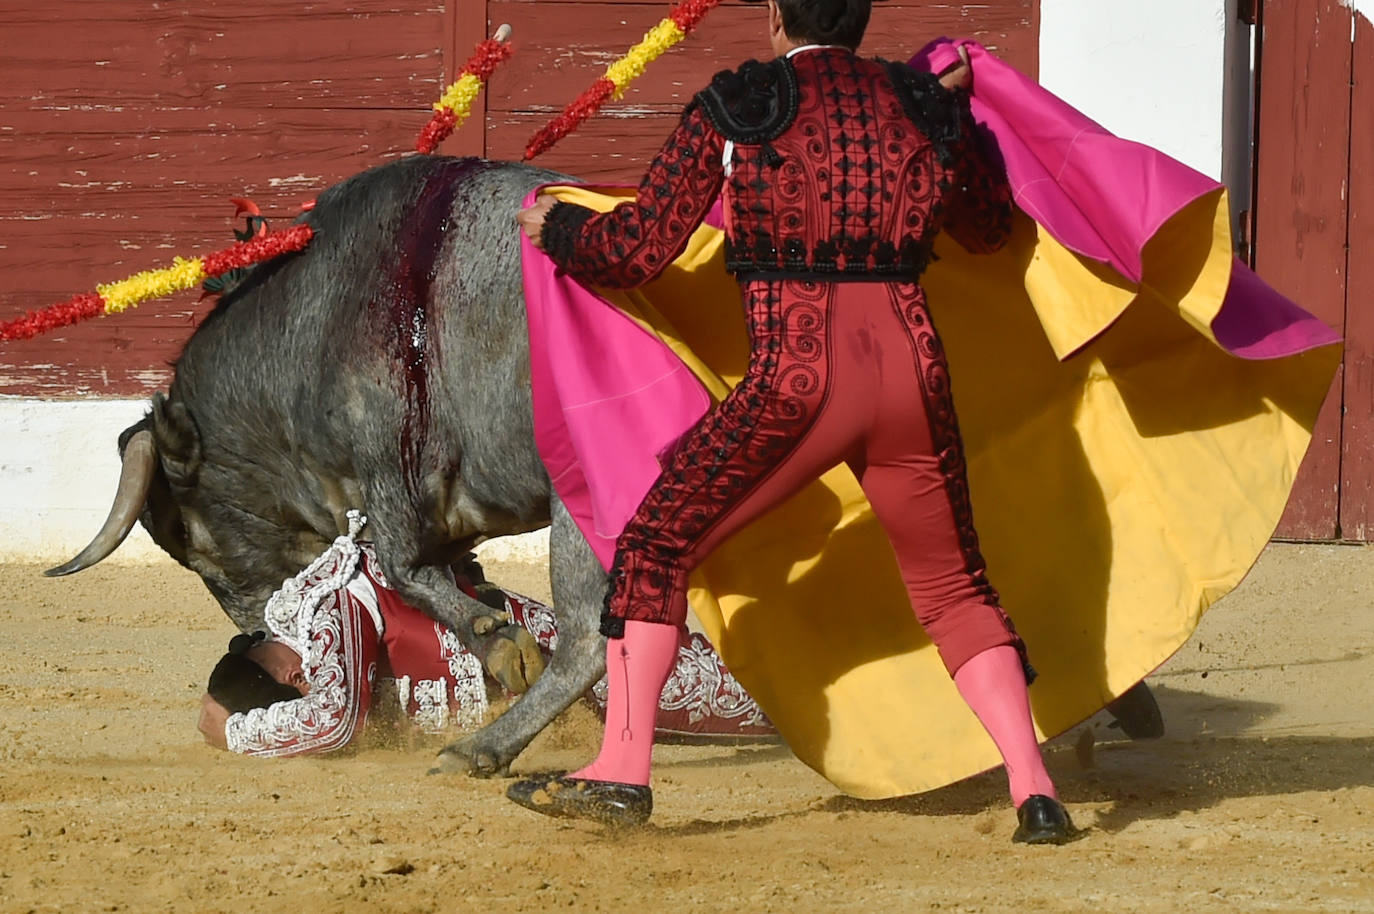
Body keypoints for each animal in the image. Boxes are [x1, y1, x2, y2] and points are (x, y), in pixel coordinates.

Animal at [48, 156, 610, 775]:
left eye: (196, 546)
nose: (254, 637)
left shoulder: (387, 464)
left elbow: (405, 569)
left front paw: (498, 640)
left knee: (588, 645)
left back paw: (476, 750)